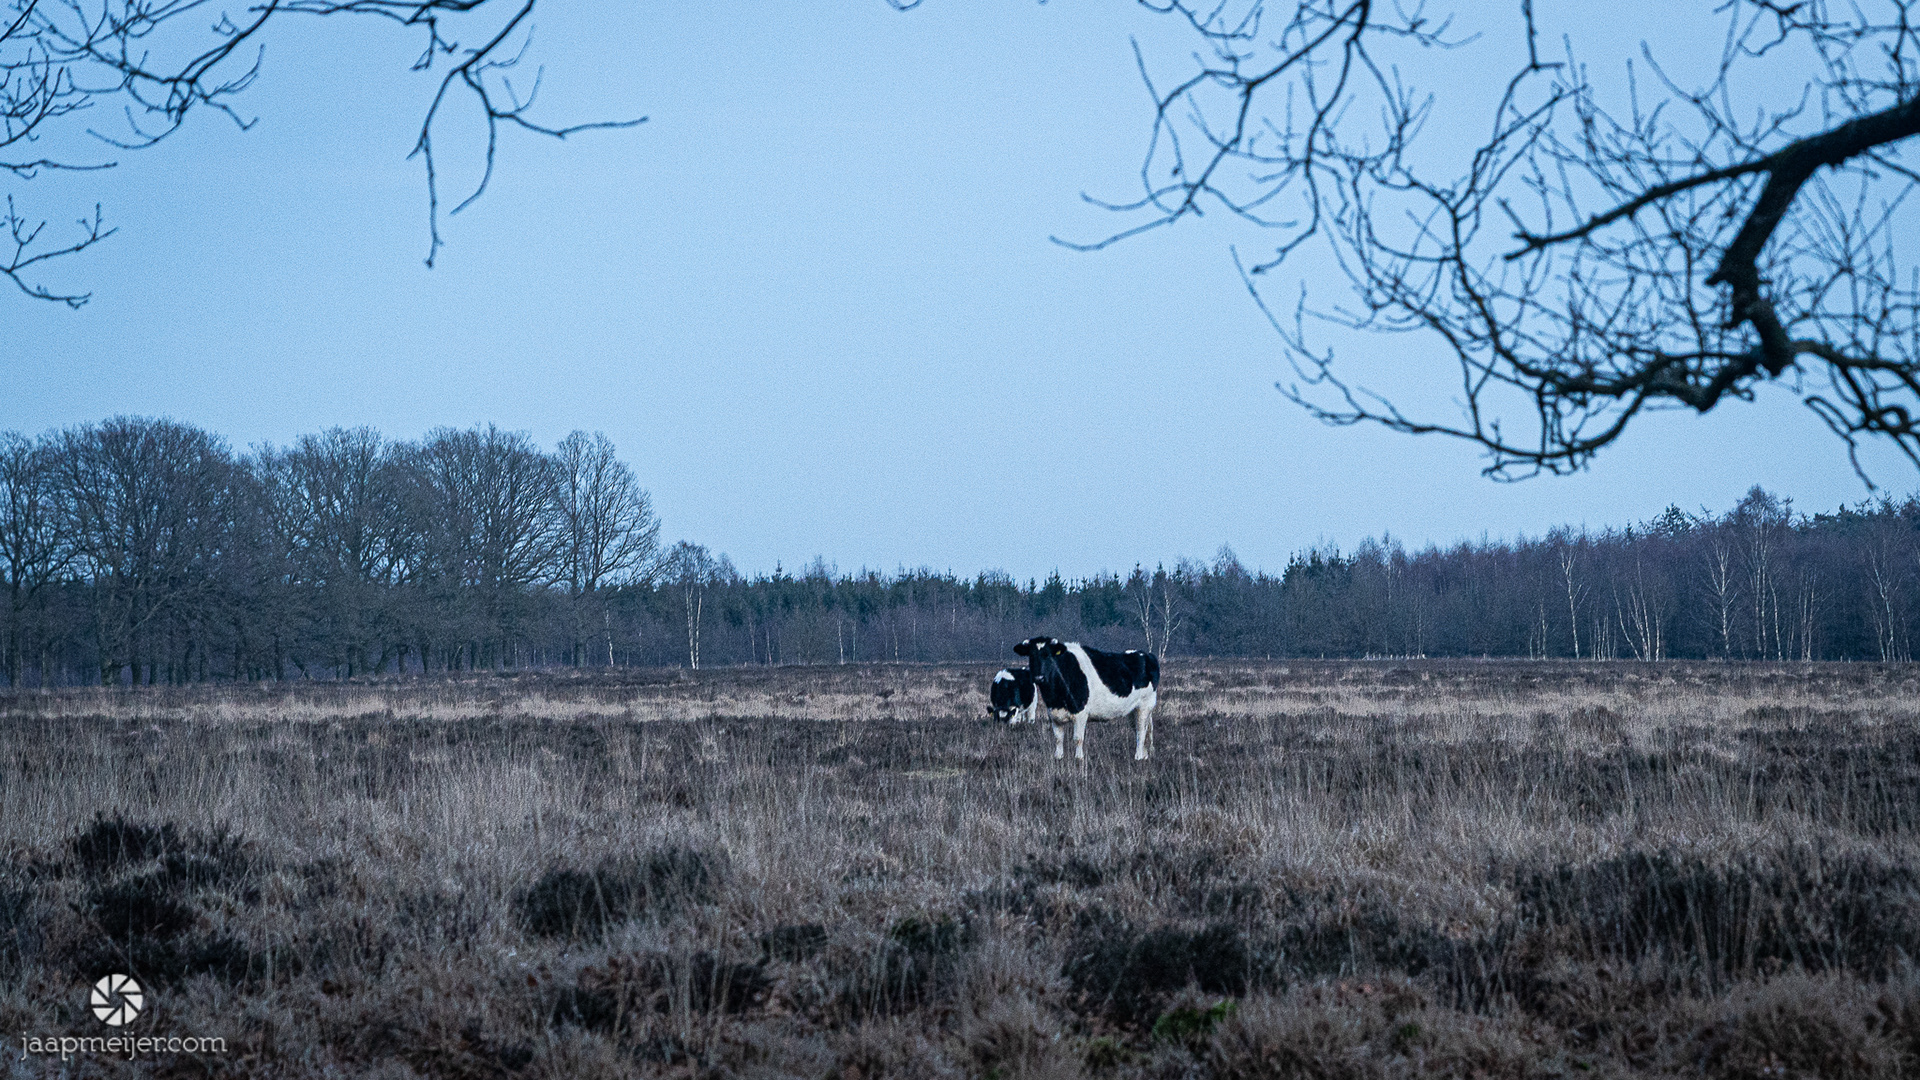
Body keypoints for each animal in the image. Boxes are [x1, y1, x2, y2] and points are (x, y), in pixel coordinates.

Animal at [1012, 636, 1159, 761]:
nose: (1039, 677)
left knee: (1141, 730)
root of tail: (1146, 654)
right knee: (1141, 729)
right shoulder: (1053, 714)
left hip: (1145, 705)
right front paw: (1058, 757)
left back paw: (1138, 756)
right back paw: (1145, 755)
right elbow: (1058, 738)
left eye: (1048, 655)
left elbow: (1078, 738)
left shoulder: (1080, 713)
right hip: (1132, 710)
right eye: (1031, 655)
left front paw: (1079, 759)